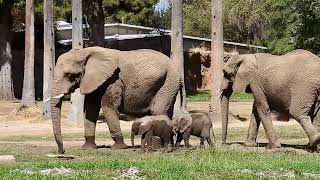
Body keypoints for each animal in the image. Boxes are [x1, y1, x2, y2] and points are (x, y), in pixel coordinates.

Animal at [49, 46, 181, 153]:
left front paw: (118, 148)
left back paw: (158, 147)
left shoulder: (114, 80)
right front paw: (88, 148)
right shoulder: (93, 81)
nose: (62, 151)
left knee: (158, 111)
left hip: (169, 82)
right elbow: (90, 108)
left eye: (69, 75)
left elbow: (108, 106)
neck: (84, 51)